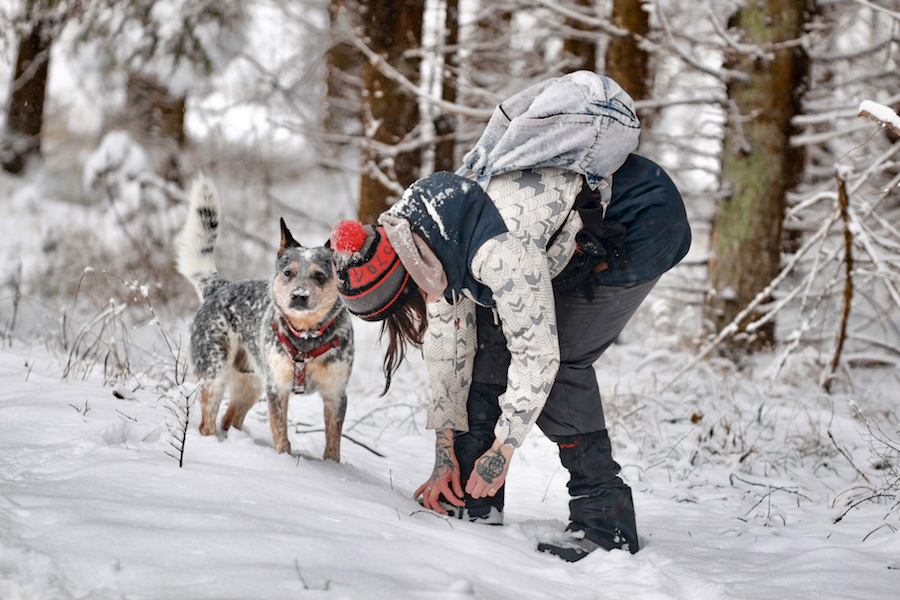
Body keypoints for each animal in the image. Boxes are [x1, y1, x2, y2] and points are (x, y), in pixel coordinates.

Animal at [176, 176, 356, 462]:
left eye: (319, 276)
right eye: (288, 272)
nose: (299, 296)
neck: (306, 335)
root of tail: (218, 286)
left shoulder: (336, 393)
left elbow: (333, 445)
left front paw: (334, 468)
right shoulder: (277, 388)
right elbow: (280, 433)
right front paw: (283, 458)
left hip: (251, 383)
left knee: (229, 419)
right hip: (217, 372)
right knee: (208, 421)